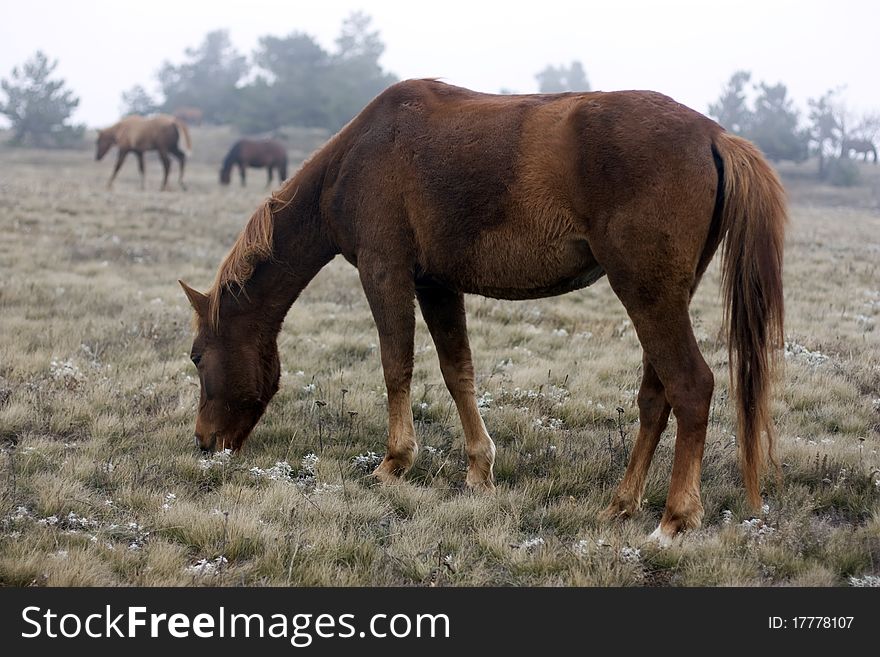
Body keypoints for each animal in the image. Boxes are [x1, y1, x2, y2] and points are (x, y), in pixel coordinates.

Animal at [179, 78, 784, 544]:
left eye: (196, 357)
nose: (204, 441)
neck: (358, 155)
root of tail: (715, 135)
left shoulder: (385, 271)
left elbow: (396, 366)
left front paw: (395, 462)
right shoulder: (436, 285)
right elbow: (458, 372)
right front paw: (478, 469)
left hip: (647, 294)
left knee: (691, 386)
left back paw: (675, 518)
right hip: (662, 296)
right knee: (656, 397)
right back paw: (622, 503)